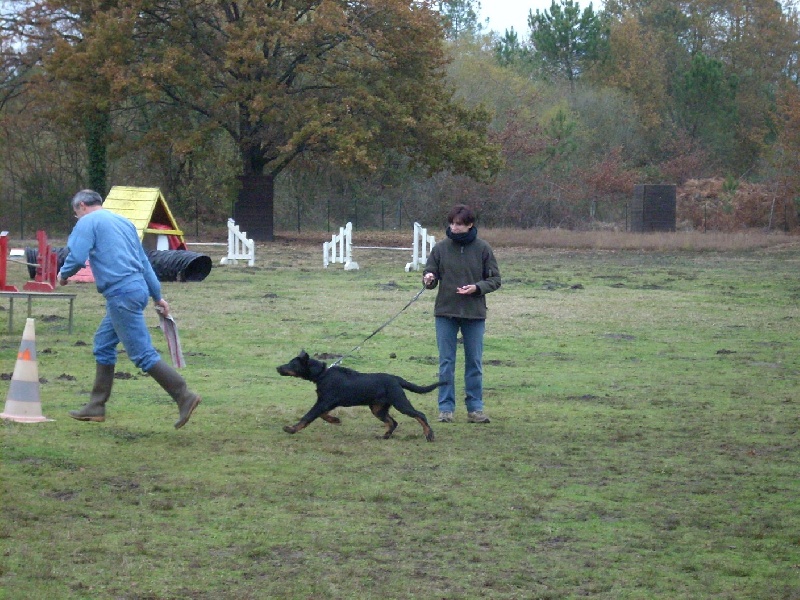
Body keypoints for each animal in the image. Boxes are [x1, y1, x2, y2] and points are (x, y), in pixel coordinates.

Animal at [276, 350, 440, 442]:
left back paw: (429, 434)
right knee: (392, 422)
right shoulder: (327, 403)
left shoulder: (324, 402)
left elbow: (308, 416)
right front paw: (335, 420)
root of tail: (396, 379)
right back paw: (385, 436)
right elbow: (322, 415)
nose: (277, 368)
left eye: (292, 364)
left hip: (400, 402)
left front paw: (291, 429)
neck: (322, 374)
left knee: (420, 415)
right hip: (377, 408)